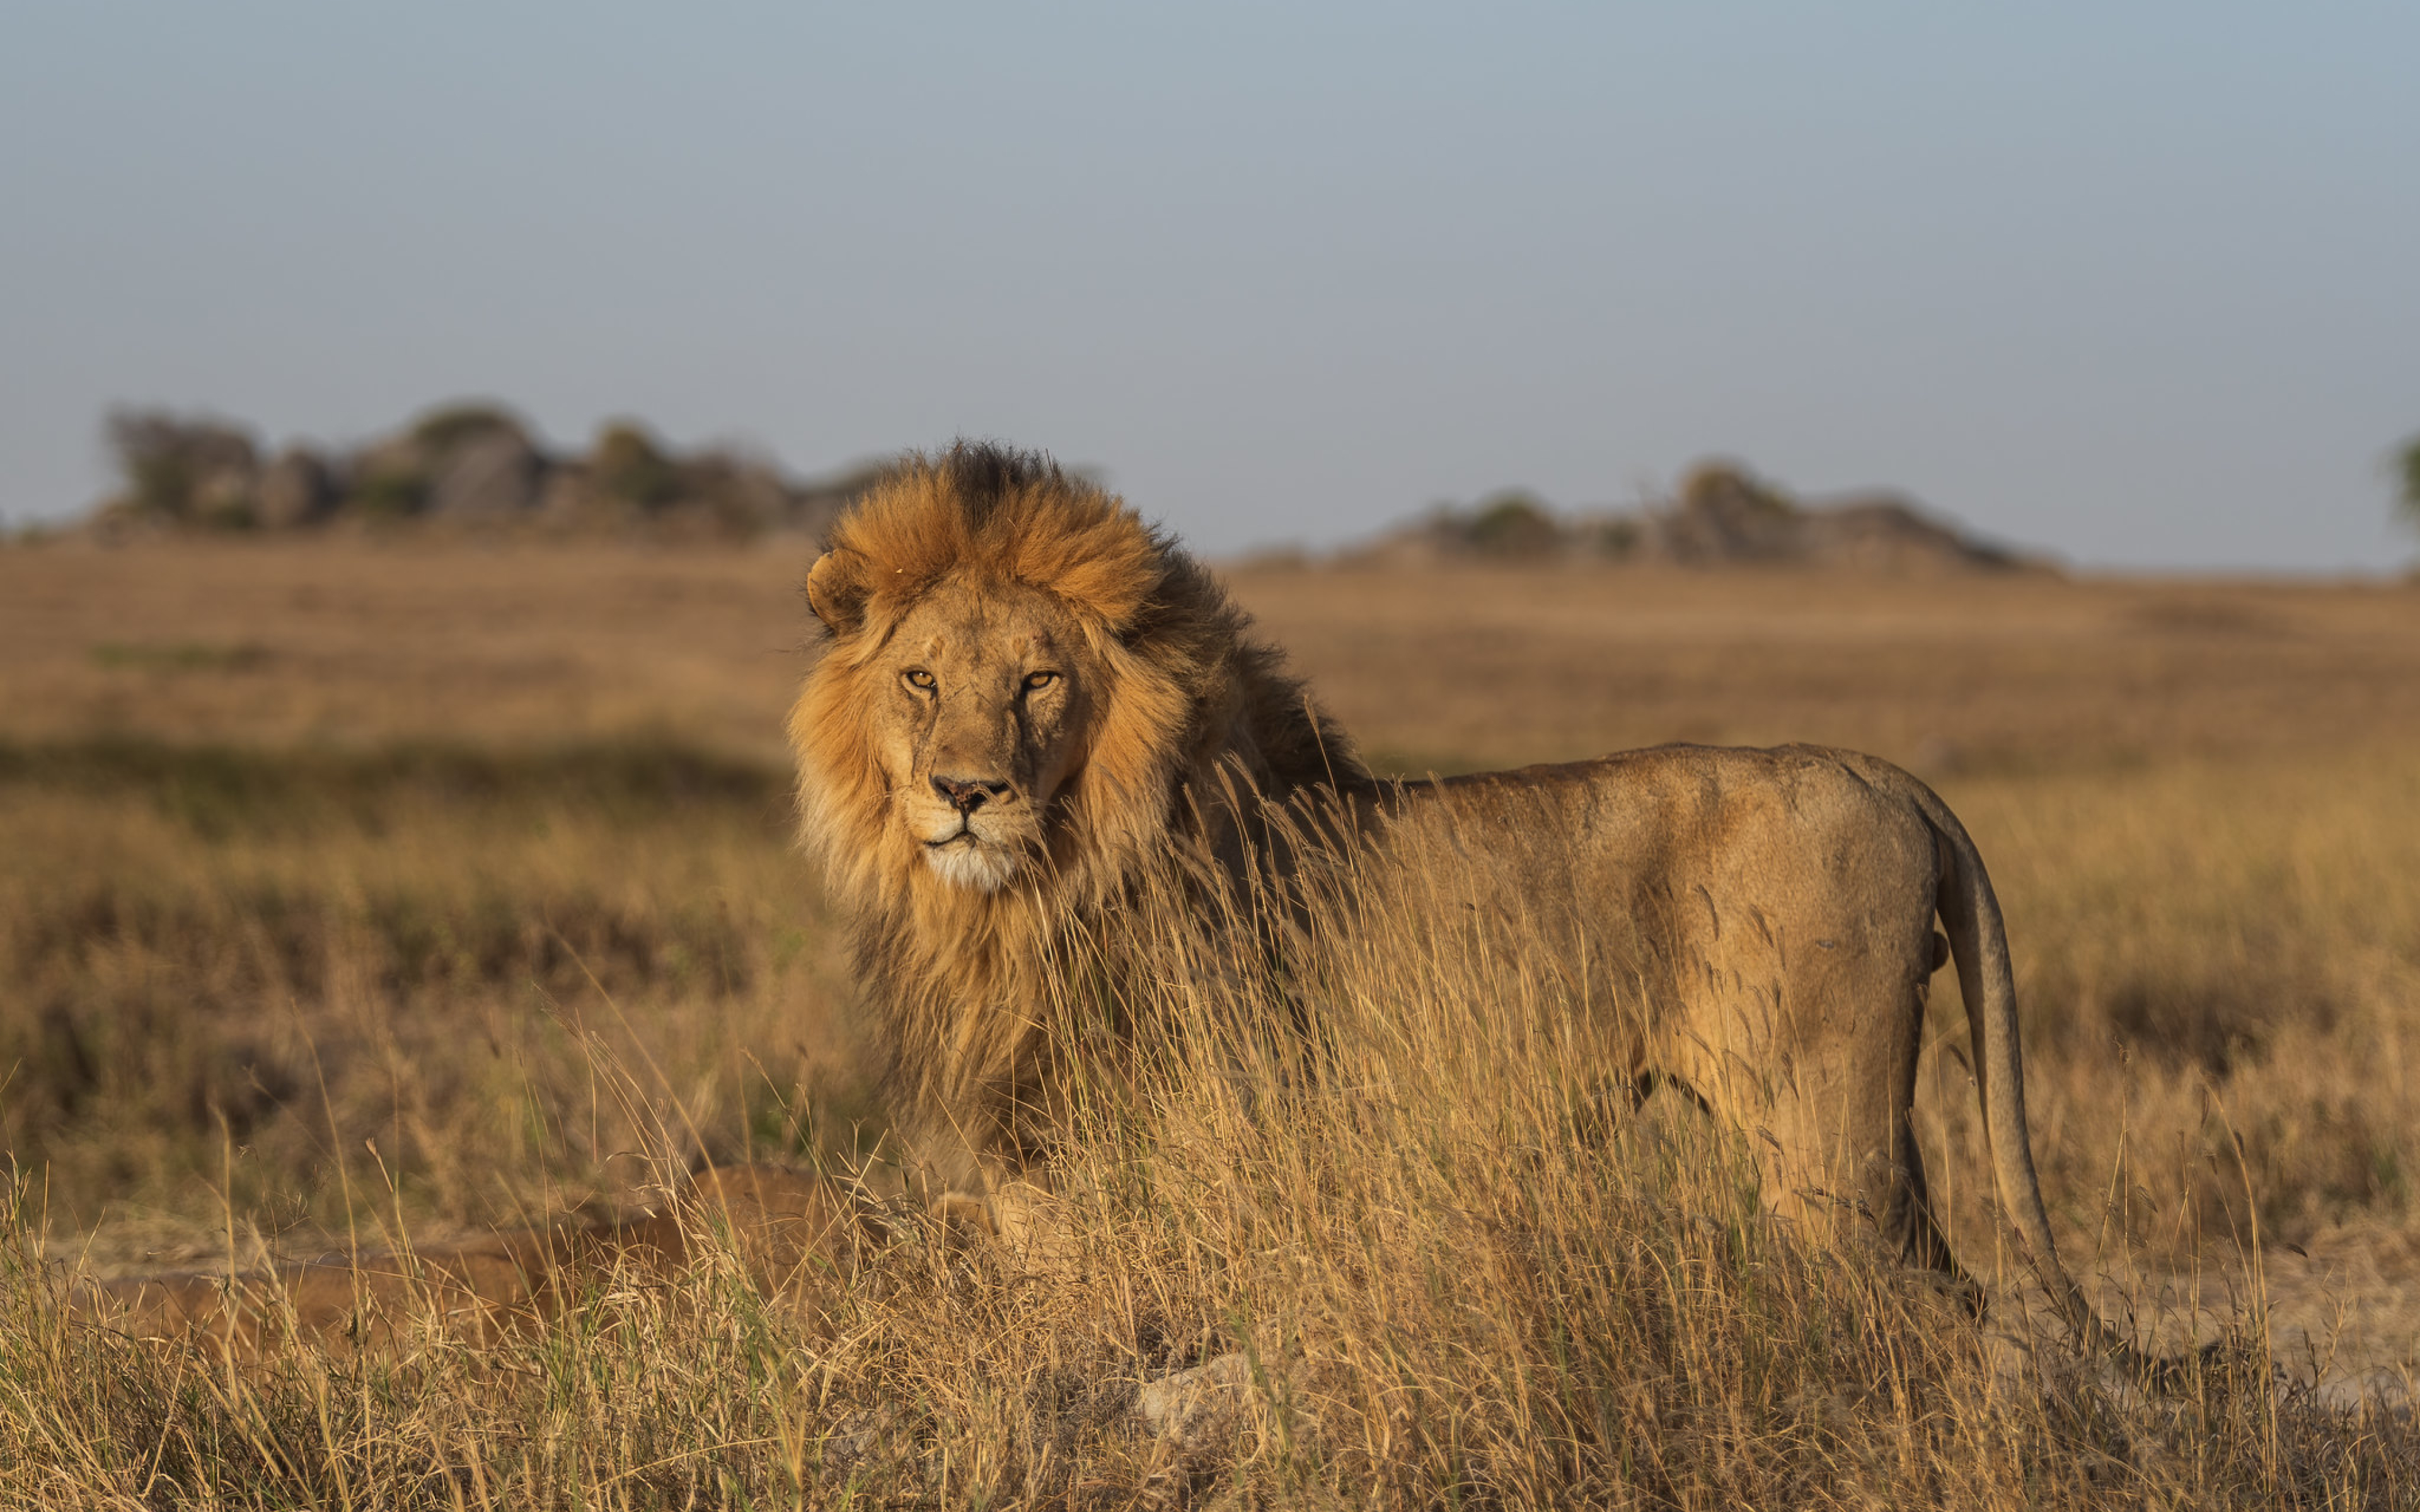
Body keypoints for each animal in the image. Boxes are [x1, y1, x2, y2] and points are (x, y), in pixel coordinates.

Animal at [788, 435, 2119, 1354]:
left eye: (1038, 682)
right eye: (919, 680)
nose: (968, 792)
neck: (1018, 899)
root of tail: (1884, 773)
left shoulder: (1206, 1150)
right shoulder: (1035, 1178)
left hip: (1827, 1146)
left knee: (1937, 1319)